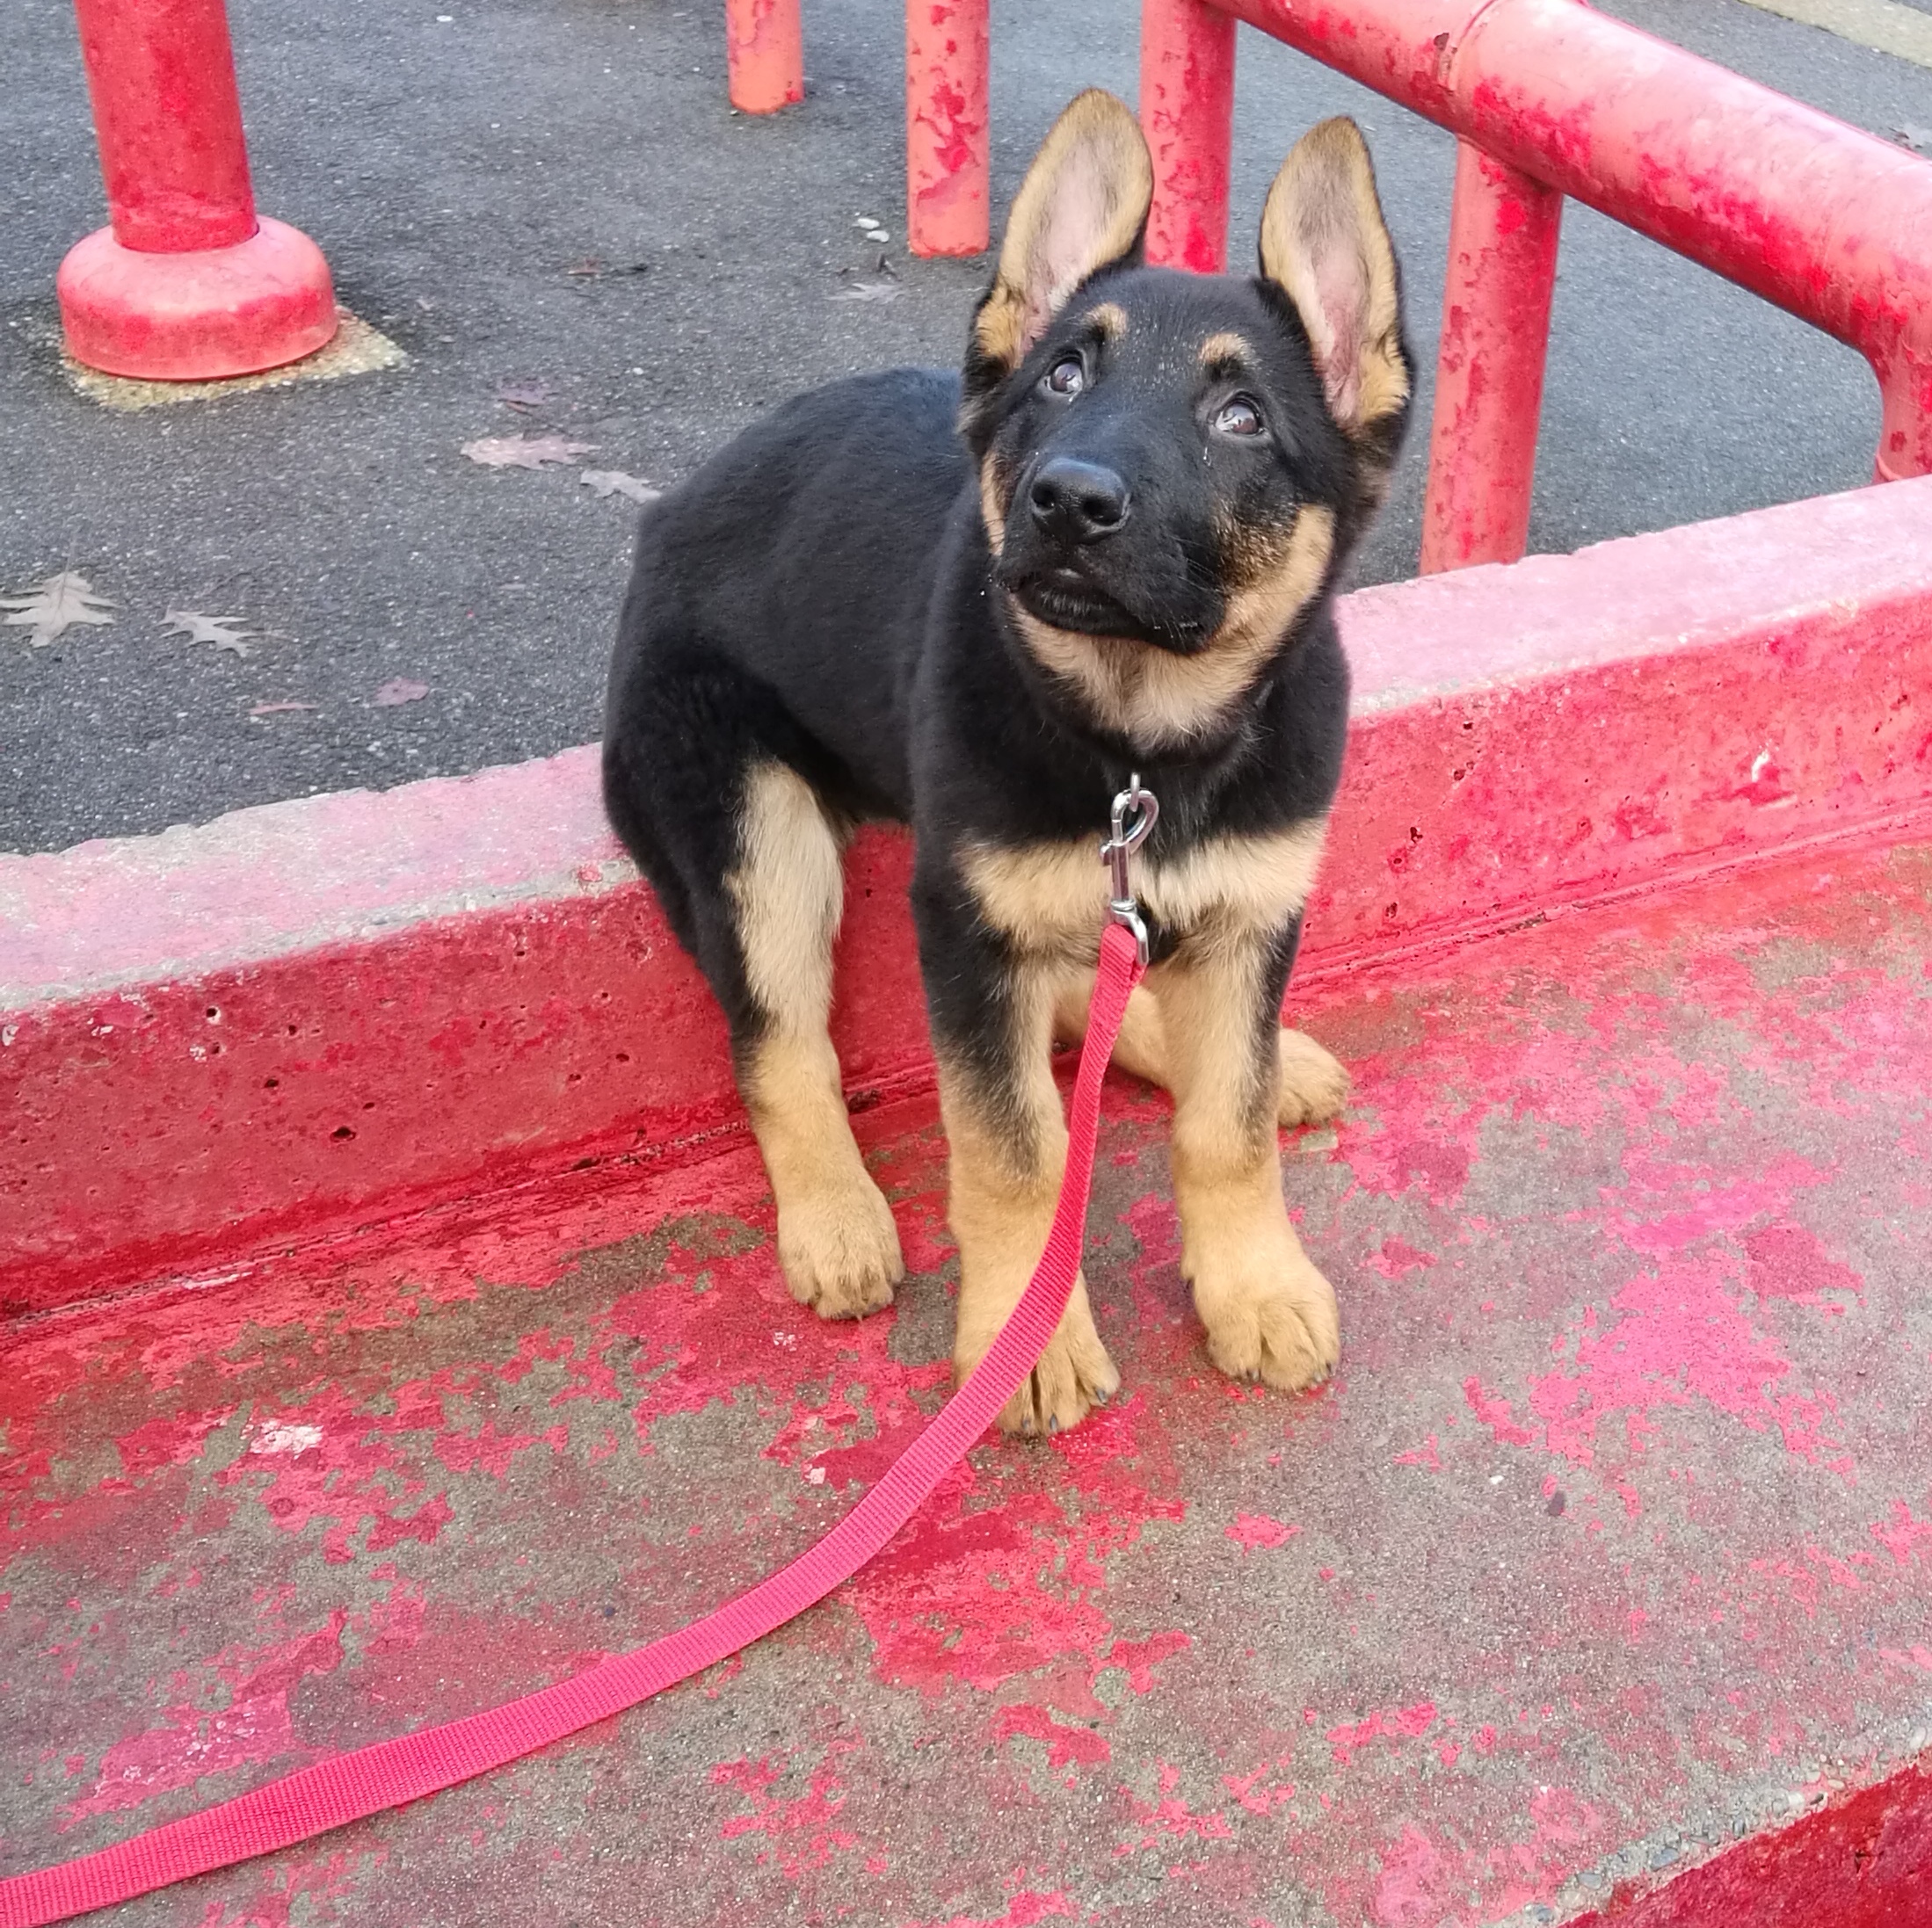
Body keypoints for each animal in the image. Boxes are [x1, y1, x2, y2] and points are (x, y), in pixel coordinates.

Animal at [603, 90, 1411, 1436]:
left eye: (1240, 418)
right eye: (1063, 377)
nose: (1067, 498)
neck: (1139, 749)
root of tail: (667, 518)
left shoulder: (1251, 915)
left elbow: (1226, 1123)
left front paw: (1252, 1278)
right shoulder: (965, 925)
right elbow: (1014, 1145)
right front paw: (1022, 1338)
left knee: (1106, 1003)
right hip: (755, 829)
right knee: (781, 1041)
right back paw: (833, 1213)